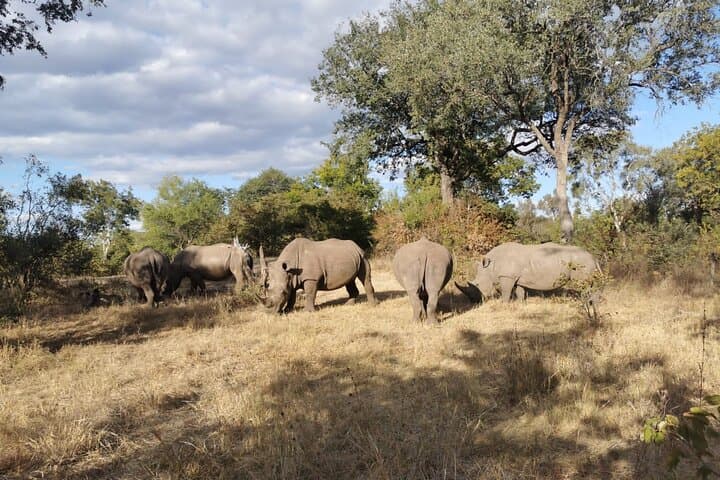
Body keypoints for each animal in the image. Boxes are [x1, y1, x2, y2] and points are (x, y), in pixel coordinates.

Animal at [456, 242, 600, 303]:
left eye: (477, 285)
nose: (474, 302)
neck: (491, 266)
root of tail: (593, 257)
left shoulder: (507, 276)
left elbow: (506, 292)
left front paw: (503, 304)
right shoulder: (518, 278)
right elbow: (520, 291)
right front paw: (521, 304)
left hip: (581, 263)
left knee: (584, 285)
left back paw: (586, 303)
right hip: (584, 262)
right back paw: (593, 304)